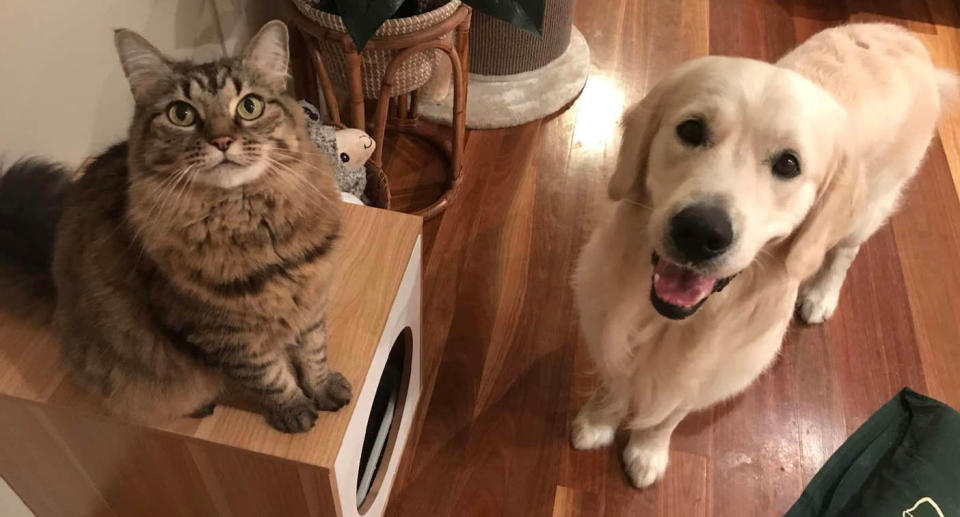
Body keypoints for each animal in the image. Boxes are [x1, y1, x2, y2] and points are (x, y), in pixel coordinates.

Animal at [0, 21, 350, 432]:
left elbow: (314, 352)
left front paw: (323, 388)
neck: (248, 219)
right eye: (181, 114)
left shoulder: (309, 298)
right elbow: (271, 374)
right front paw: (294, 410)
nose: (222, 141)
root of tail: (55, 290)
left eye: (249, 106)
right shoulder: (224, 335)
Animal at [568, 23, 952, 488]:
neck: (674, 323)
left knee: (843, 253)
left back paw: (821, 296)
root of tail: (908, 39)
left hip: (868, 210)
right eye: (691, 130)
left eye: (788, 164)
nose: (700, 232)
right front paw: (597, 422)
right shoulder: (608, 325)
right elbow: (615, 383)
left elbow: (669, 415)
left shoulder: (718, 370)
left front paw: (647, 451)